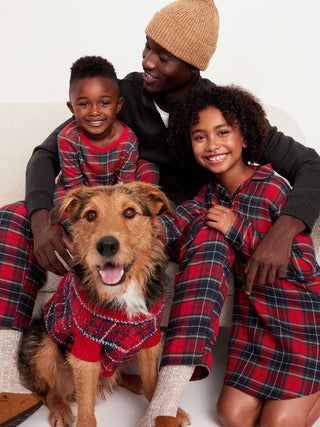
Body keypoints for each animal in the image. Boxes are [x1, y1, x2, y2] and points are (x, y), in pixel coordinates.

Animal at [18, 183, 175, 427]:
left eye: (129, 212)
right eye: (91, 215)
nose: (107, 245)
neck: (122, 291)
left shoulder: (150, 337)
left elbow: (152, 380)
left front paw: (163, 411)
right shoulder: (84, 348)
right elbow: (86, 404)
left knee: (116, 375)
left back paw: (134, 381)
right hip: (42, 339)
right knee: (49, 391)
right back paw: (61, 409)